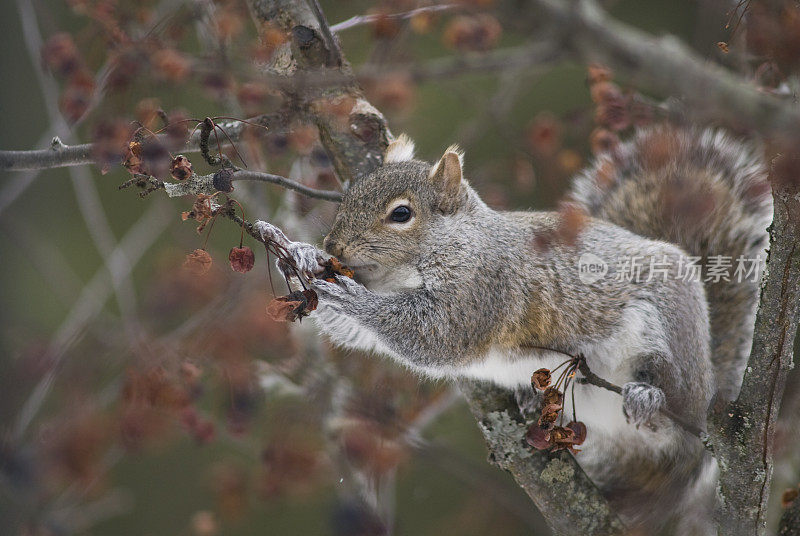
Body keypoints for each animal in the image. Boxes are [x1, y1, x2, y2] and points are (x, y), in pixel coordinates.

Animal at [253, 127, 772, 532]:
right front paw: (297, 254)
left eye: (401, 214)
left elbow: (432, 335)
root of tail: (713, 378)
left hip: (670, 337)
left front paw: (345, 292)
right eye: (347, 197)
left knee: (676, 417)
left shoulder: (483, 290)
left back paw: (650, 398)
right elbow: (357, 333)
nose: (333, 245)